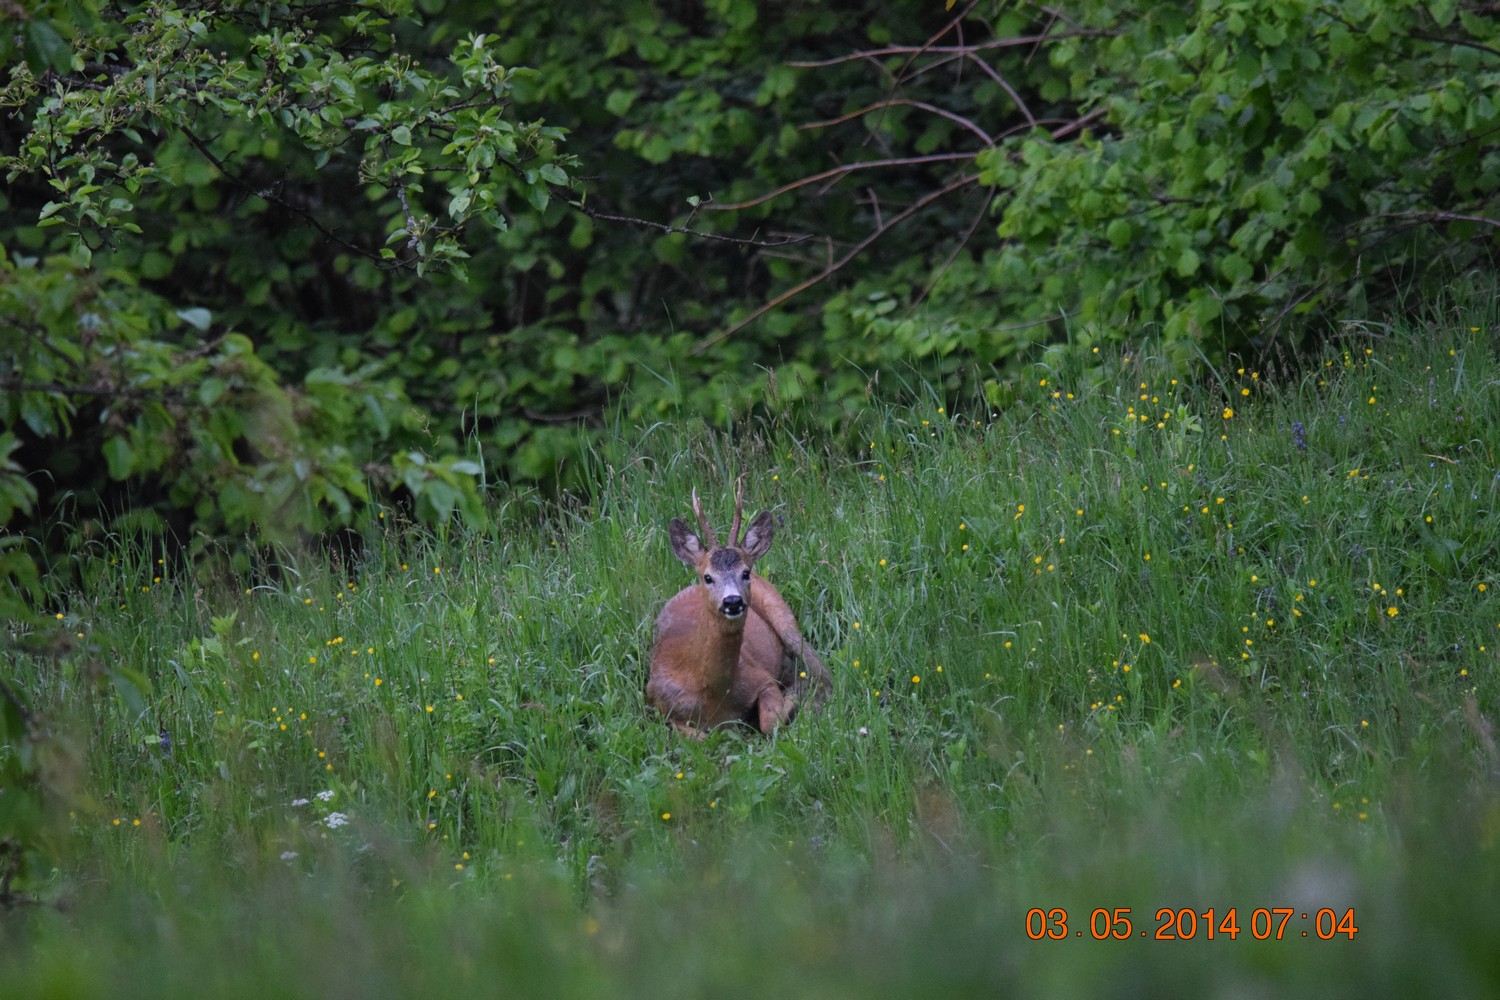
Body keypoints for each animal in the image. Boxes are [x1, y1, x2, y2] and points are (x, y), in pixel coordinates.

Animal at [647, 479, 831, 738]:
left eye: (745, 572)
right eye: (708, 577)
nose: (732, 601)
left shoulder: (761, 678)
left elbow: (770, 723)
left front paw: (796, 697)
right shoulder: (660, 706)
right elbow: (702, 739)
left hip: (782, 614)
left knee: (822, 671)